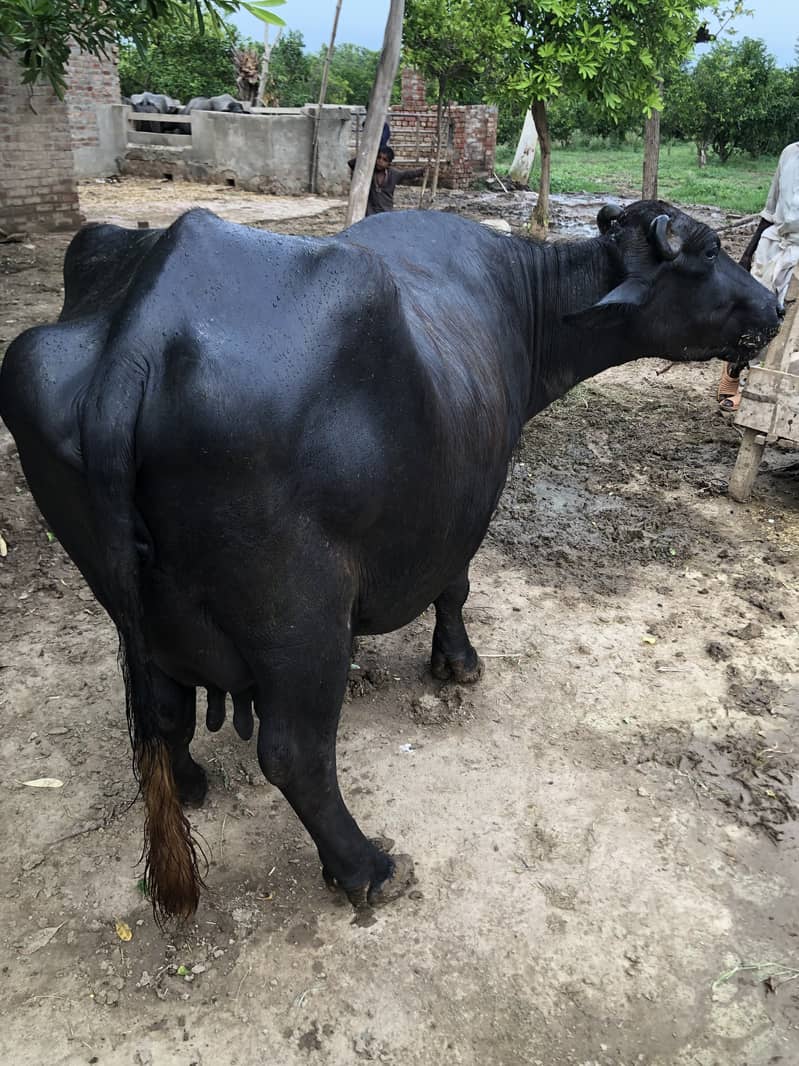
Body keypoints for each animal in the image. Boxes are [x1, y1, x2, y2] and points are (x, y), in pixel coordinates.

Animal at [0, 202, 780, 923]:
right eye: (710, 251)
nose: (774, 305)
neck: (521, 302)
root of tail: (139, 339)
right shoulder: (467, 502)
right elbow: (454, 586)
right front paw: (457, 663)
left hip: (124, 597)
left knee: (161, 710)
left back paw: (190, 781)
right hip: (298, 611)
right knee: (294, 751)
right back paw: (364, 866)